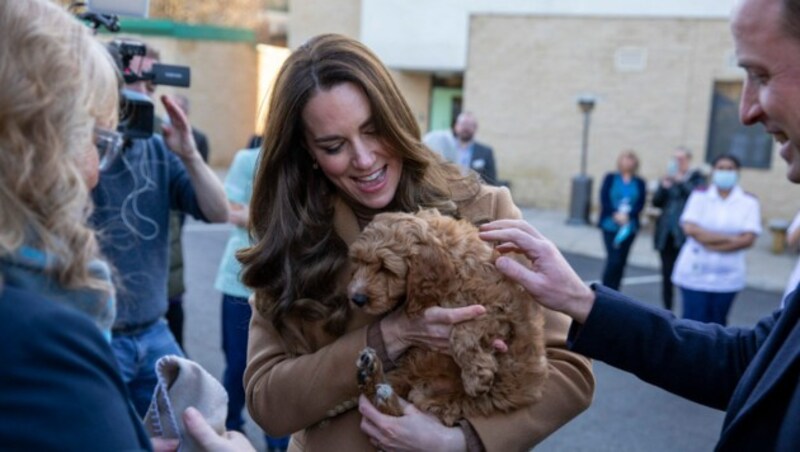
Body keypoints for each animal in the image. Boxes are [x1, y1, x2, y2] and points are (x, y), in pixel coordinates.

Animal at [350, 207, 552, 426]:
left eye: (385, 268)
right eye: (357, 262)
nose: (356, 298)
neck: (455, 263)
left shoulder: (500, 310)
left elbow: (461, 331)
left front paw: (475, 376)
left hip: (442, 399)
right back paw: (370, 376)